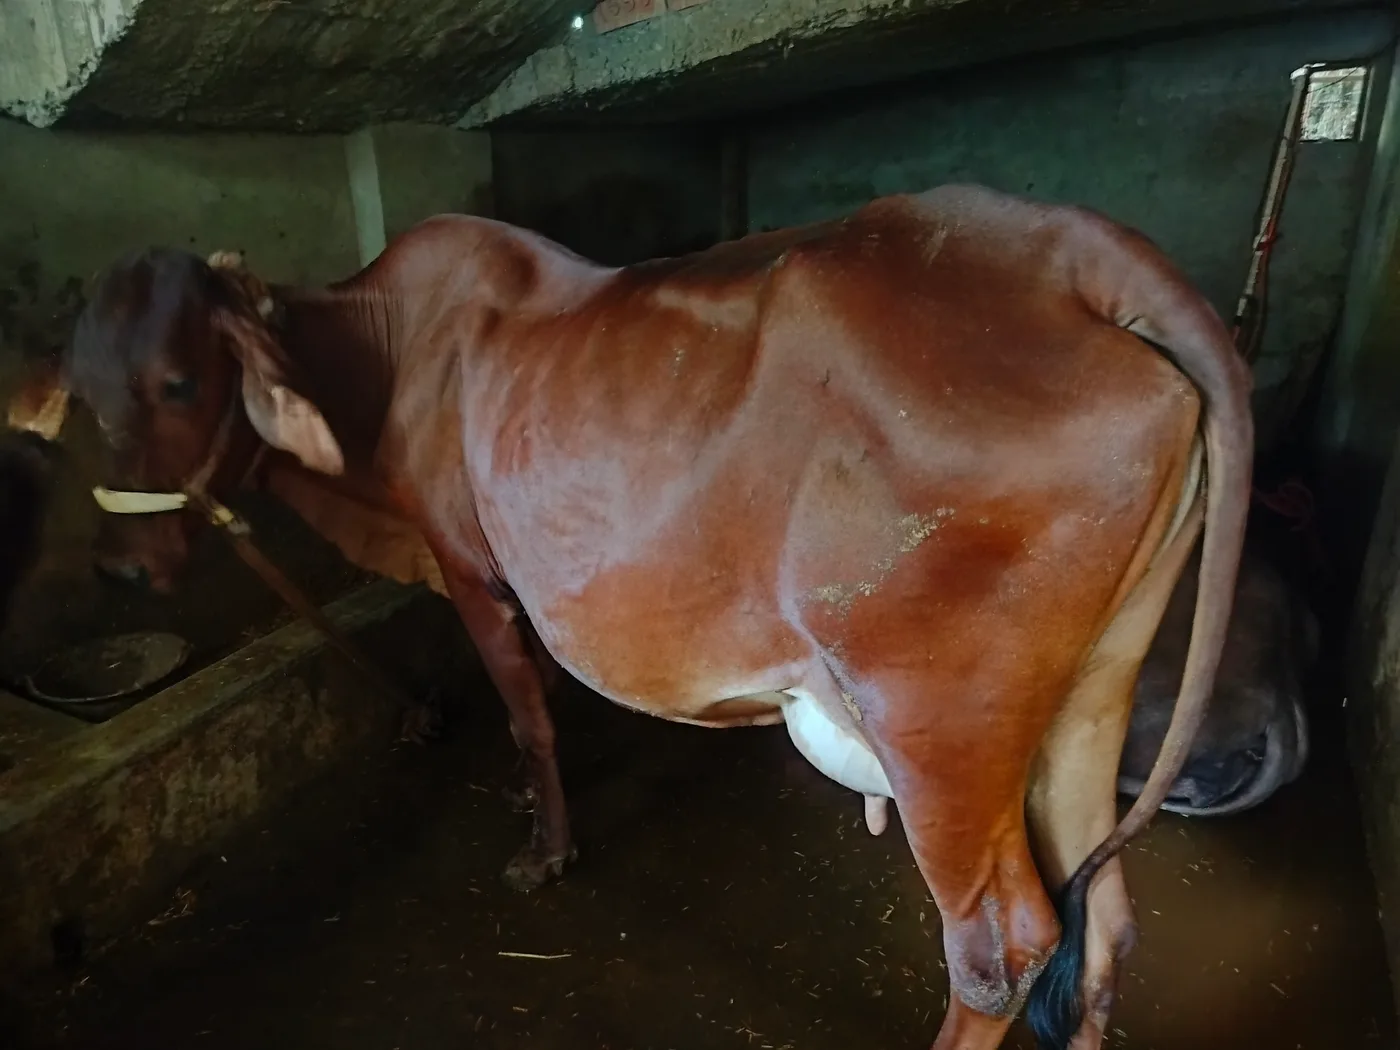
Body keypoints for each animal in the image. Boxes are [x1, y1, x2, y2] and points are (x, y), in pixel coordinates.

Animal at [8, 184, 1252, 1050]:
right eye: (88, 395)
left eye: (179, 381)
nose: (120, 564)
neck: (380, 360)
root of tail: (1070, 250)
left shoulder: (471, 570)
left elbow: (527, 715)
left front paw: (543, 849)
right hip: (1090, 692)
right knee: (1104, 920)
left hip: (939, 718)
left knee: (999, 949)